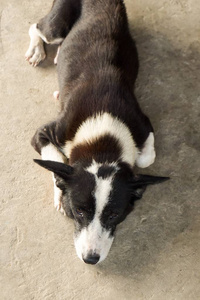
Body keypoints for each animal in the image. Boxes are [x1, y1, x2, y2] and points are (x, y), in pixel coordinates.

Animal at [25, 0, 168, 264]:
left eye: (114, 215)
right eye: (79, 211)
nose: (91, 259)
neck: (103, 140)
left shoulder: (143, 124)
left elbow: (146, 158)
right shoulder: (45, 132)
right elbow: (55, 156)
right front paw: (59, 189)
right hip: (56, 27)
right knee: (38, 27)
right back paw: (37, 51)